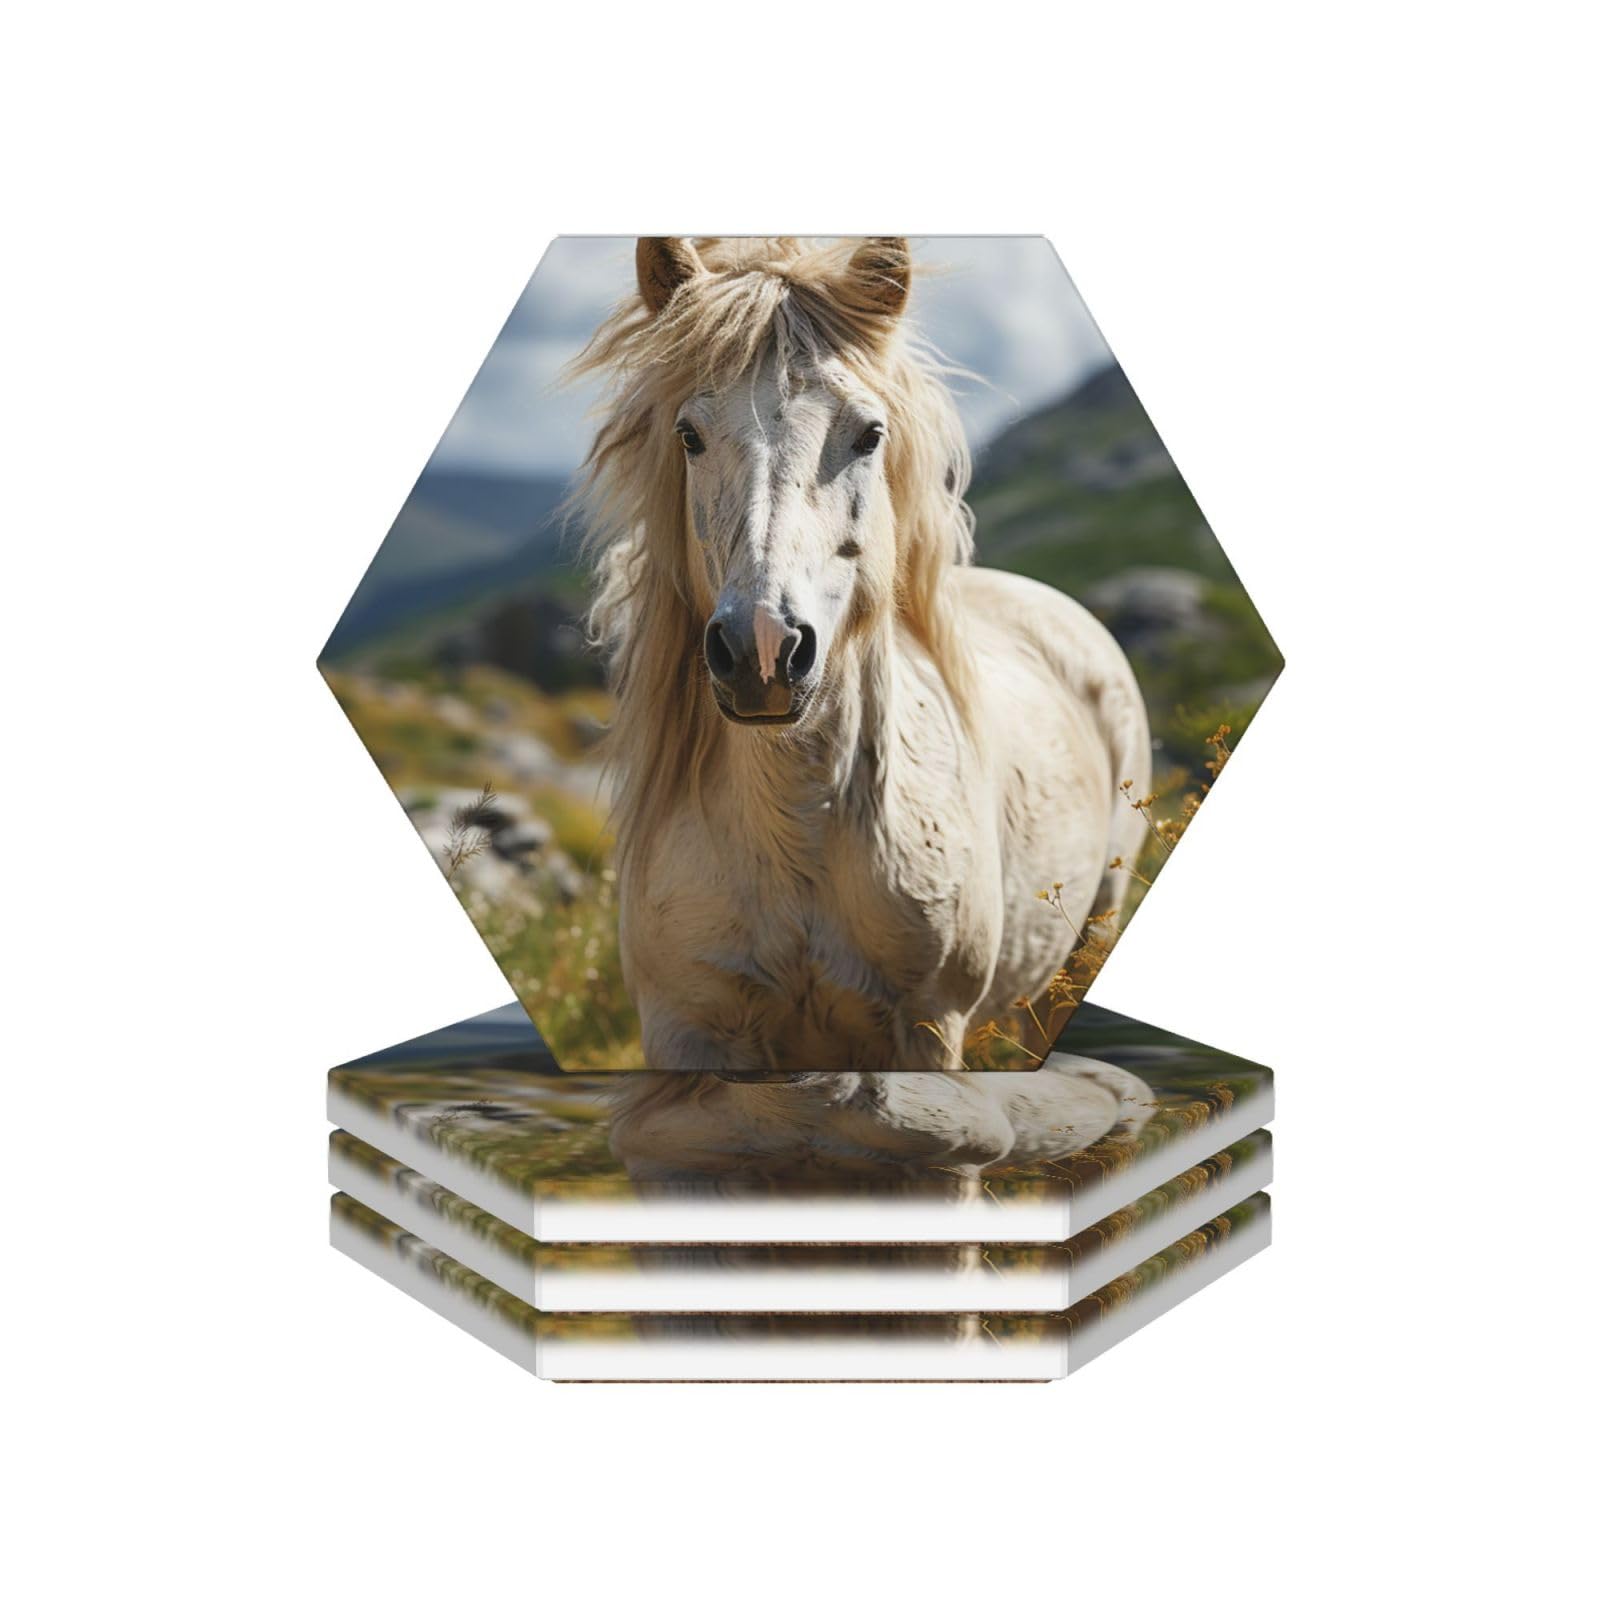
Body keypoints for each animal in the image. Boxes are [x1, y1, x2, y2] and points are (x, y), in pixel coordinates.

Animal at [570, 237, 1148, 1122]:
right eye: (689, 435)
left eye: (870, 434)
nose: (764, 649)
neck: (798, 835)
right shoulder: (687, 1032)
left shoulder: (928, 1029)